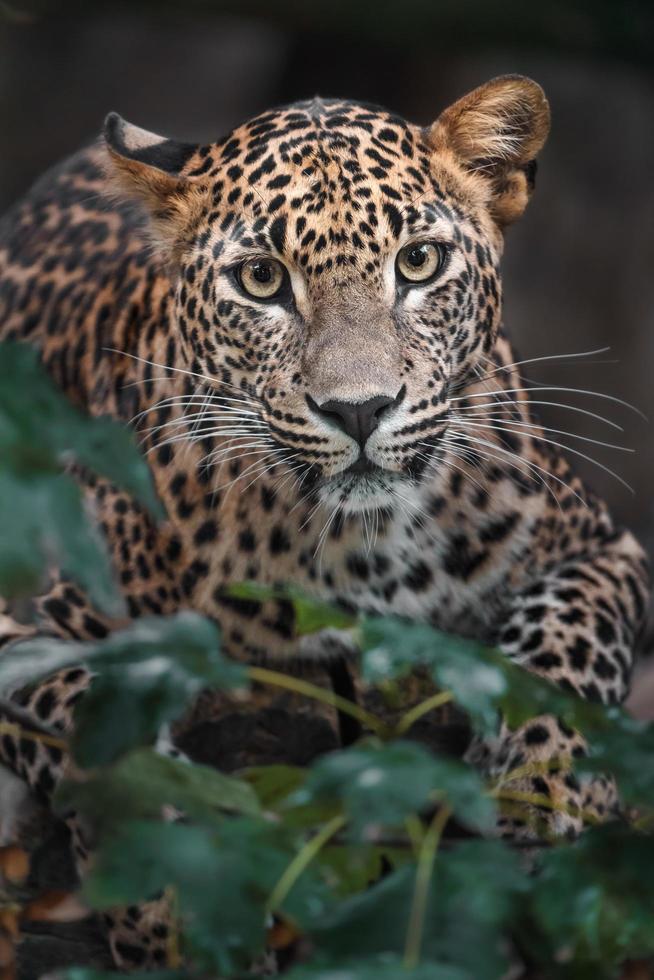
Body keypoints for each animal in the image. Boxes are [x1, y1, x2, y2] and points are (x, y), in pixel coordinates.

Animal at [0, 76, 648, 972]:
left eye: (419, 262)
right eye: (261, 280)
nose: (360, 409)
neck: (361, 549)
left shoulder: (600, 547)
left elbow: (567, 650)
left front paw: (536, 791)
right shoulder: (33, 620)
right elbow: (108, 746)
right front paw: (186, 895)